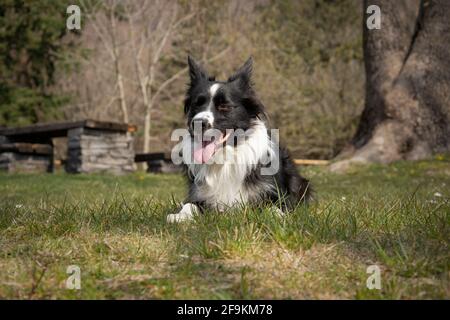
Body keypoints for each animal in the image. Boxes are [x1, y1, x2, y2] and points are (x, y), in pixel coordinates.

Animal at [167, 57, 312, 222]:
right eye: (197, 105)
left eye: (224, 106)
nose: (197, 123)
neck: (225, 157)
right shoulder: (199, 195)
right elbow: (189, 205)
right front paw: (179, 216)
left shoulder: (277, 195)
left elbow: (274, 207)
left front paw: (277, 216)